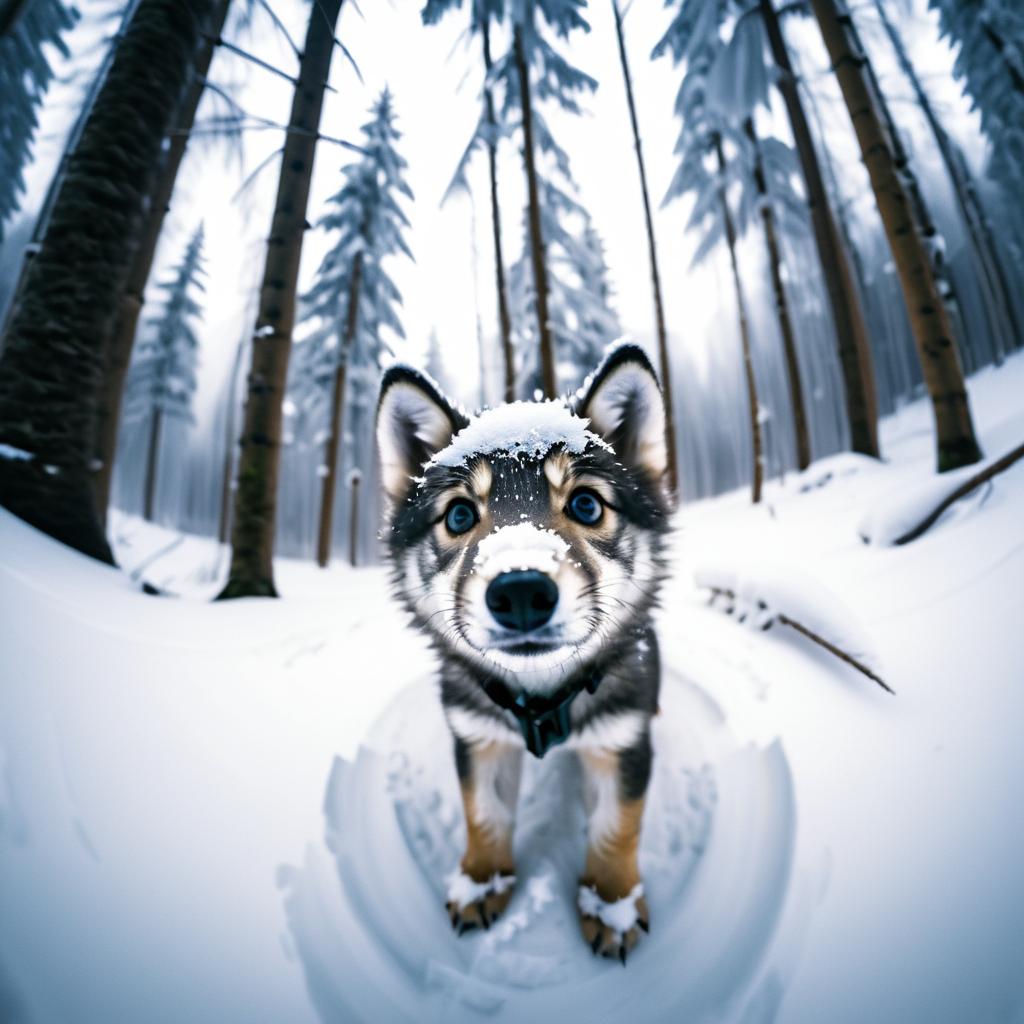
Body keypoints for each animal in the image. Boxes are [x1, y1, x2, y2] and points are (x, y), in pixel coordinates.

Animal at [376, 344, 671, 958]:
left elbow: (616, 829)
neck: (543, 703)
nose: (520, 592)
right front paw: (482, 881)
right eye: (459, 515)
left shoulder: (623, 741)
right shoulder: (477, 737)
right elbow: (483, 816)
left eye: (587, 505)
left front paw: (611, 904)